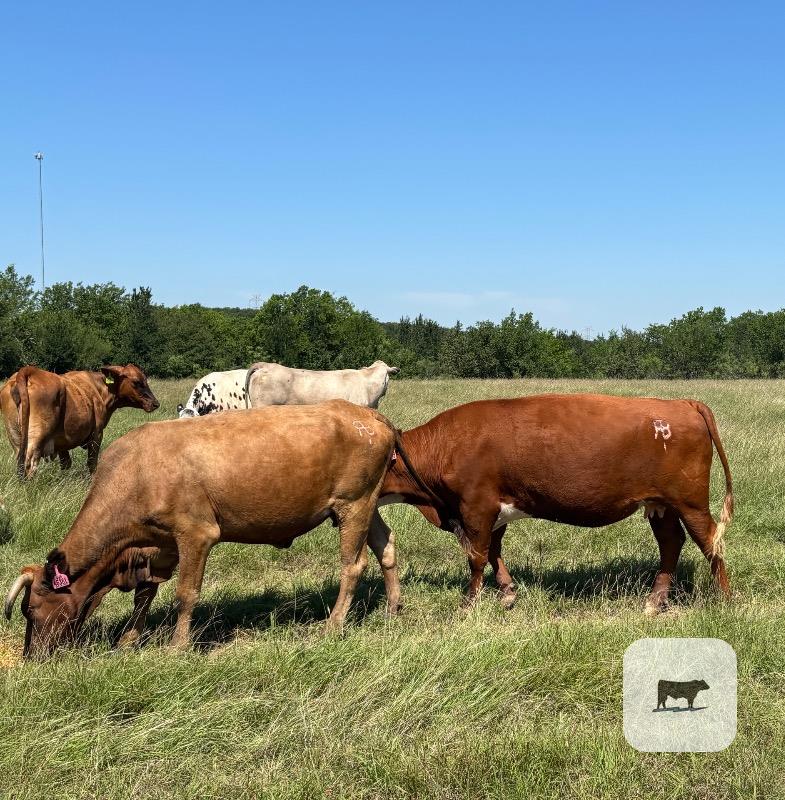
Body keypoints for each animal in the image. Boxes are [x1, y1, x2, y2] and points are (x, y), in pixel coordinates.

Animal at [0, 364, 159, 478]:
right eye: (137, 382)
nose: (155, 403)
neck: (101, 390)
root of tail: (29, 370)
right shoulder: (97, 434)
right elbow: (92, 463)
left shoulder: (61, 441)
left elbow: (66, 464)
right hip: (36, 438)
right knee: (30, 465)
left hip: (16, 437)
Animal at [4, 400, 404, 657]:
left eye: (32, 609)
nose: (32, 657)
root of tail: (369, 414)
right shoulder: (161, 543)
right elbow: (144, 594)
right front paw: (128, 640)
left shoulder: (196, 532)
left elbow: (185, 594)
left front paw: (177, 647)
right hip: (367, 504)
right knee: (385, 545)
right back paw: (392, 606)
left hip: (354, 503)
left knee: (353, 565)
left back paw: (333, 625)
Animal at [378, 394, 733, 615]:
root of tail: (681, 403)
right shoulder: (494, 511)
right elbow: (493, 551)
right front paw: (507, 593)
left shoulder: (475, 507)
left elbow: (476, 557)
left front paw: (467, 605)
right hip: (660, 504)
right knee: (671, 542)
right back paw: (655, 601)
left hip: (690, 501)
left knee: (710, 540)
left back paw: (725, 599)